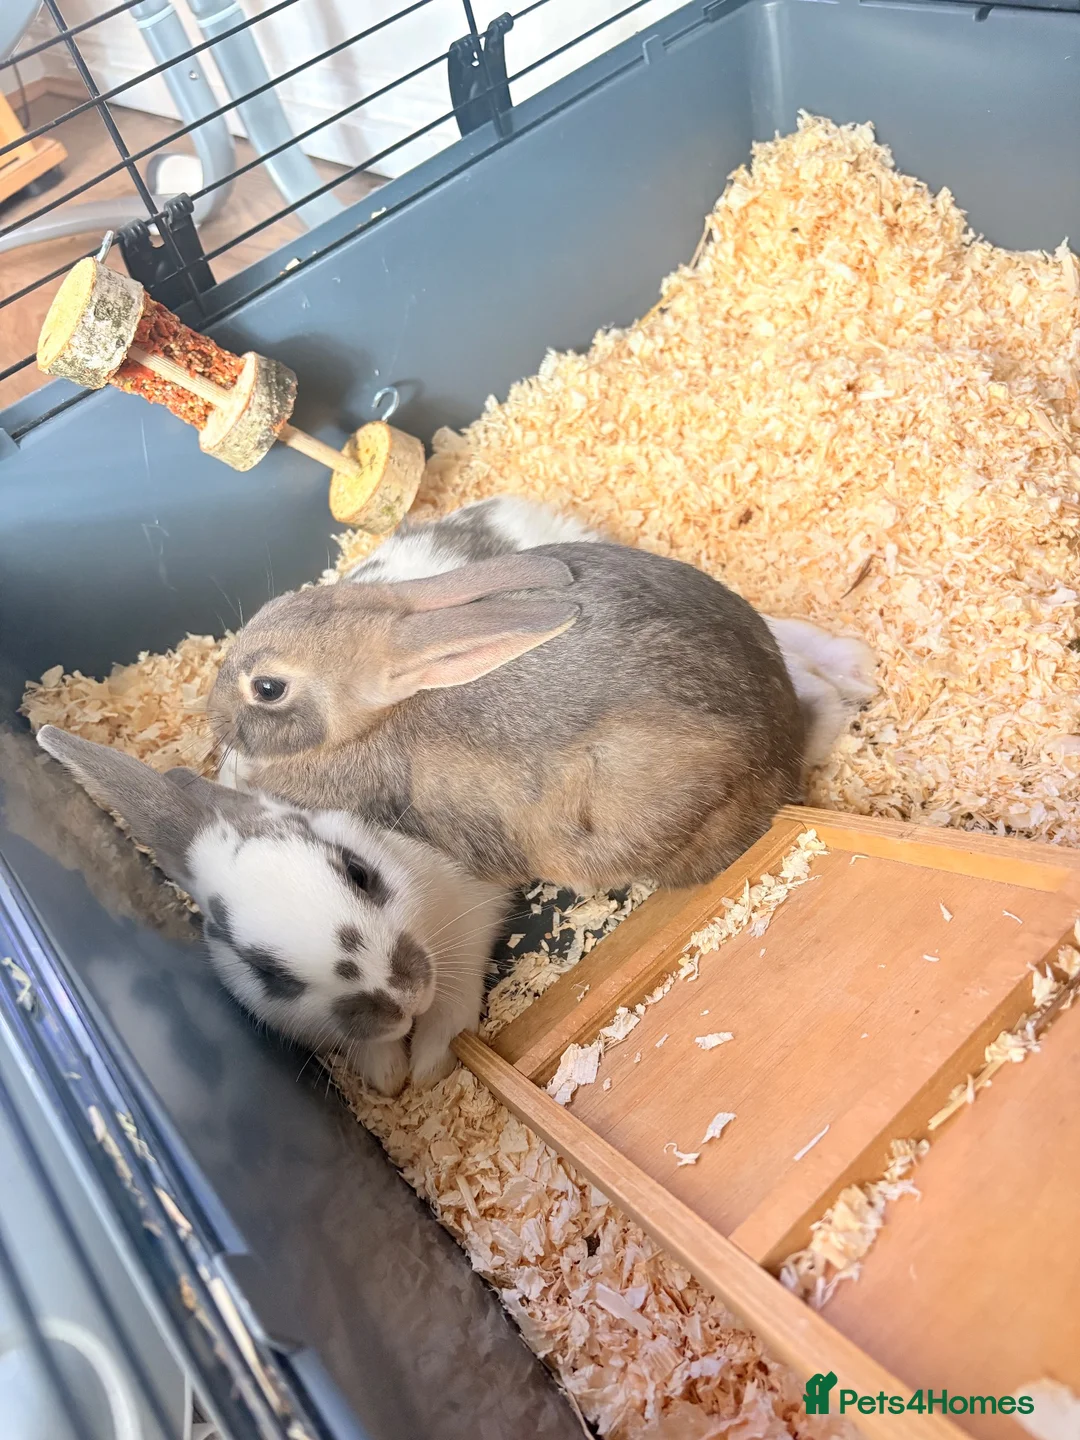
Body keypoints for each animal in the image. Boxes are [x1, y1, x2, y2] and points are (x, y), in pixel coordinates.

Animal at [35, 725, 510, 1096]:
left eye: (357, 871)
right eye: (266, 973)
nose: (401, 1000)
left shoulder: (470, 911)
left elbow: (454, 994)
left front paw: (430, 1066)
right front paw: (389, 1075)